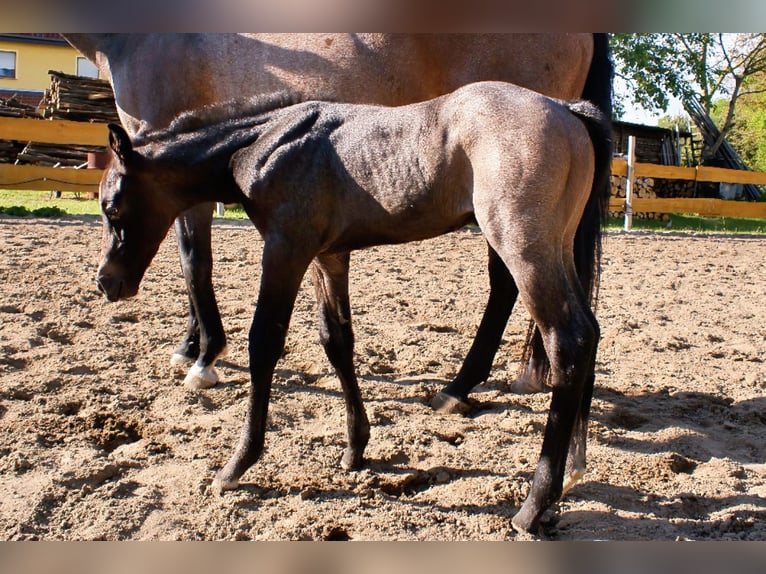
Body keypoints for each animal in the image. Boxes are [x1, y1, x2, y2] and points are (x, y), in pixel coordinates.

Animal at [95, 81, 612, 534]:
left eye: (112, 206)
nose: (106, 283)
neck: (265, 140)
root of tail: (566, 109)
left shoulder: (285, 248)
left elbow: (264, 342)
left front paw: (236, 465)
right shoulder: (329, 255)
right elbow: (337, 341)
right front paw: (355, 447)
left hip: (522, 245)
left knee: (568, 339)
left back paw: (533, 504)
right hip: (557, 244)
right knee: (590, 331)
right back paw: (569, 473)